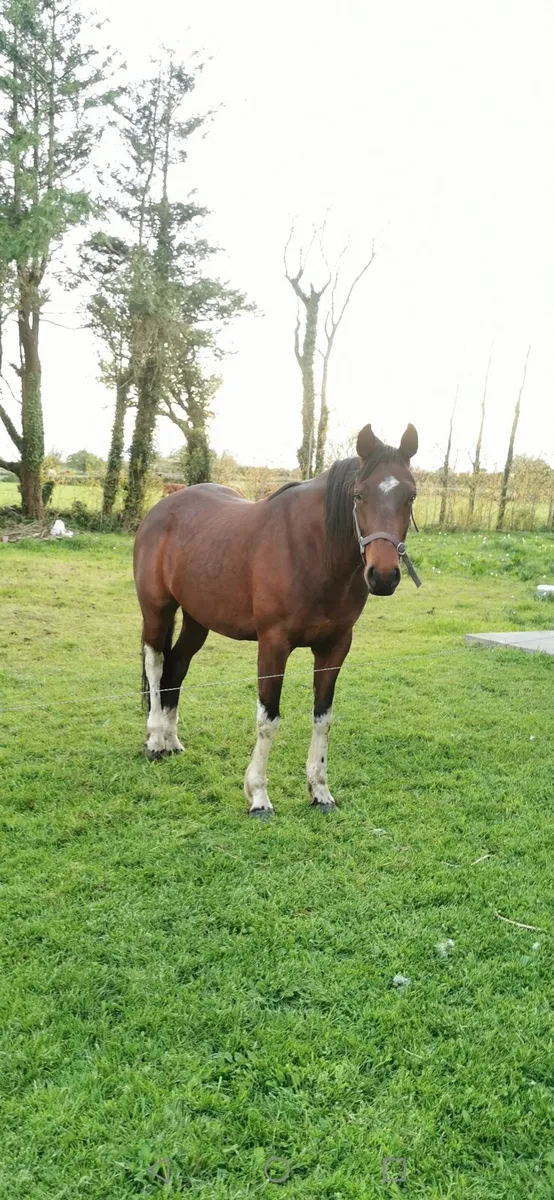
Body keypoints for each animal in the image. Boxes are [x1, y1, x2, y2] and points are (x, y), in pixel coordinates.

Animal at [133, 422, 420, 816]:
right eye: (359, 496)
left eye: (410, 496)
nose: (384, 576)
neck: (313, 551)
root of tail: (161, 508)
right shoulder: (272, 645)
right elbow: (268, 720)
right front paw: (258, 797)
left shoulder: (335, 647)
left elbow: (323, 718)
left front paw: (320, 792)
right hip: (156, 608)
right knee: (156, 663)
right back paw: (153, 741)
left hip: (197, 618)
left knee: (177, 666)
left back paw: (172, 740)